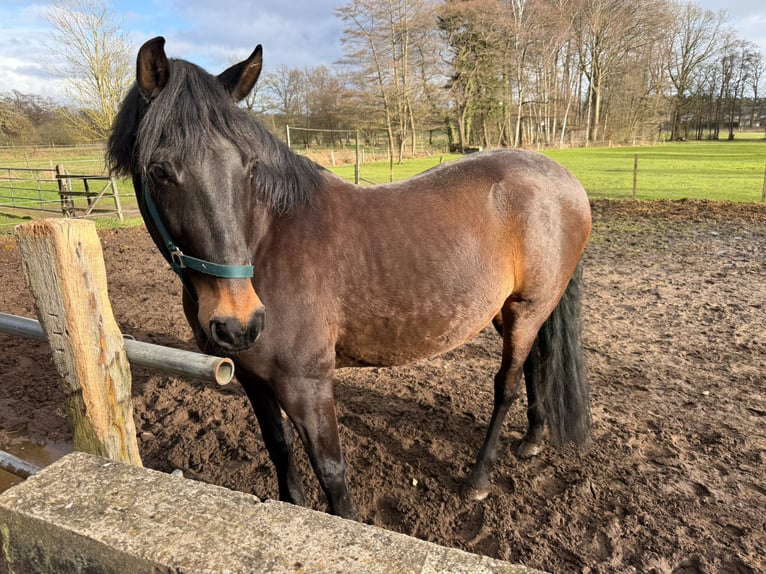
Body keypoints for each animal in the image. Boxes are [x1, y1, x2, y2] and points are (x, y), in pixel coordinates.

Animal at [108, 37, 592, 520]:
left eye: (248, 167)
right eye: (159, 171)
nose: (238, 321)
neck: (268, 243)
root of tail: (564, 179)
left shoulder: (307, 384)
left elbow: (331, 474)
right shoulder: (252, 380)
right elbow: (279, 451)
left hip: (527, 309)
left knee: (506, 385)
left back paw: (479, 478)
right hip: (507, 311)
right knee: (534, 364)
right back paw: (532, 438)